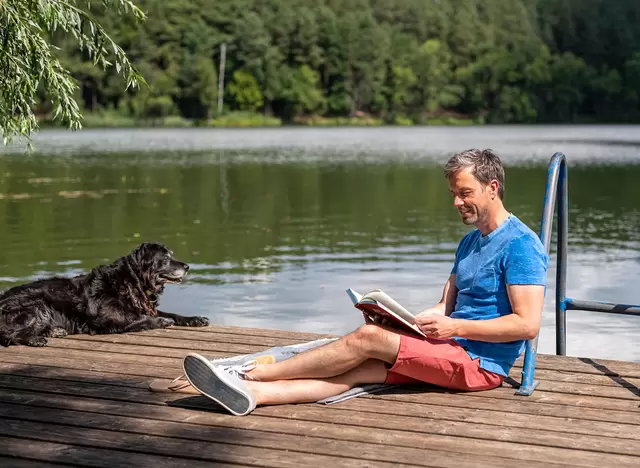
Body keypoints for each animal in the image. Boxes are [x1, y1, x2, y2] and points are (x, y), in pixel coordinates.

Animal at [0, 243, 209, 346]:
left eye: (171, 255)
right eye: (165, 258)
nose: (187, 267)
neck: (130, 281)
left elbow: (172, 314)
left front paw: (195, 319)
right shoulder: (109, 321)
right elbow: (140, 320)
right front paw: (162, 322)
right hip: (36, 307)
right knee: (9, 334)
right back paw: (35, 339)